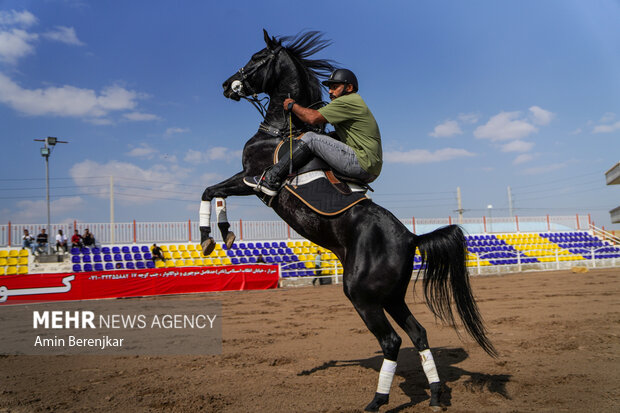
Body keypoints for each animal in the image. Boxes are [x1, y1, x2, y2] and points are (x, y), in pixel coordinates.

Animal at [199, 29, 494, 412]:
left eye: (257, 57)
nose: (227, 85)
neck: (281, 132)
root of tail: (410, 237)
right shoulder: (243, 180)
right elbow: (212, 191)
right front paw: (221, 234)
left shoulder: (250, 179)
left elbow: (211, 190)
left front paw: (212, 234)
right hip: (391, 297)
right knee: (418, 334)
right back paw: (434, 393)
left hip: (362, 295)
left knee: (392, 342)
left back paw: (378, 400)